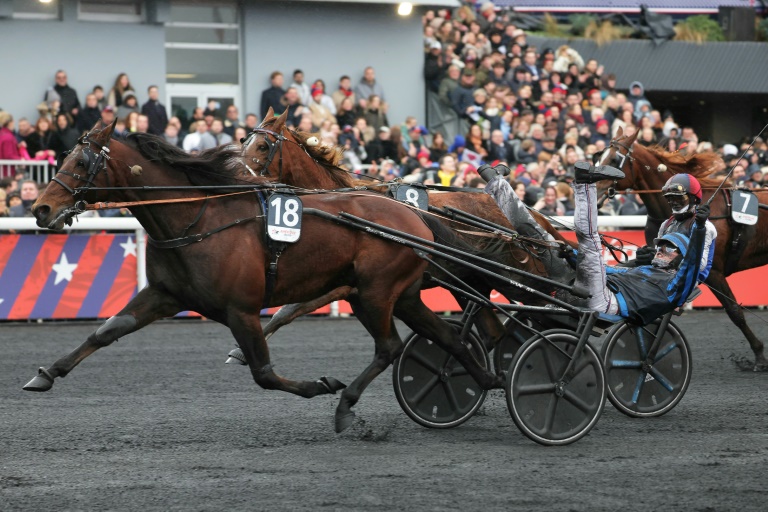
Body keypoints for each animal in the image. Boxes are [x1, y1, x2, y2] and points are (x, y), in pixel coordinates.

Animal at [27, 122, 504, 430]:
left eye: (82, 162)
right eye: (65, 155)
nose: (41, 209)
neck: (197, 218)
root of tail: (415, 217)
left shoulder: (240, 309)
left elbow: (264, 372)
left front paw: (320, 385)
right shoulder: (165, 294)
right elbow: (106, 331)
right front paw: (46, 374)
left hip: (375, 293)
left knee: (390, 347)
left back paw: (347, 407)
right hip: (396, 294)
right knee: (446, 336)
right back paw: (484, 379)